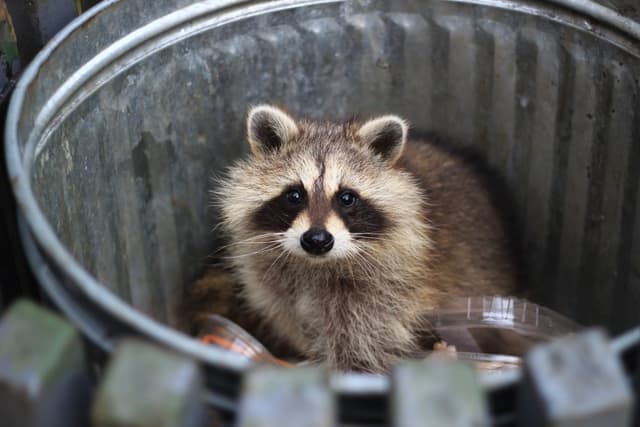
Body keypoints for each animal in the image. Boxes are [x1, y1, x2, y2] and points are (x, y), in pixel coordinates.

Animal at [186, 105, 520, 372]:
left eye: (346, 198)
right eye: (294, 195)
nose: (317, 239)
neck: (316, 265)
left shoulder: (386, 293)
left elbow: (362, 350)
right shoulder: (273, 285)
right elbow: (290, 318)